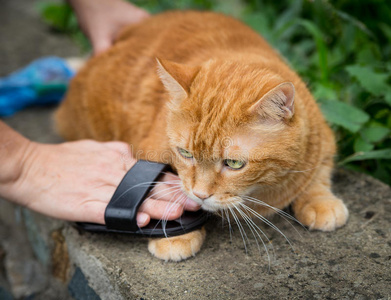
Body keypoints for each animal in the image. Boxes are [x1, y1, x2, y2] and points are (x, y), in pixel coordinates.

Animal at [55, 11, 350, 260]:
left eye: (234, 163)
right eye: (185, 153)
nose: (200, 195)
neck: (264, 192)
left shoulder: (323, 142)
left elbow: (318, 176)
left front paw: (321, 202)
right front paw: (176, 235)